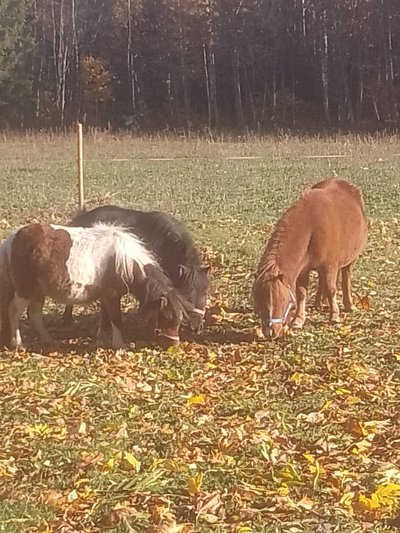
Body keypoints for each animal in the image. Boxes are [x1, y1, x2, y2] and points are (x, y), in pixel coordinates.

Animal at [0, 221, 194, 350]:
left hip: (38, 291)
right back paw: (18, 344)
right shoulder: (112, 295)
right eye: (167, 316)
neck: (123, 261)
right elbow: (116, 318)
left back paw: (48, 340)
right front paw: (120, 345)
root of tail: (12, 238)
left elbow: (105, 316)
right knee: (14, 311)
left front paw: (103, 337)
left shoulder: (106, 296)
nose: (173, 344)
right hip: (25, 290)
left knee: (34, 314)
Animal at [253, 178, 368, 336]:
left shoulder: (330, 266)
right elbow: (301, 293)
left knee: (346, 277)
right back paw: (319, 303)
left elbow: (331, 289)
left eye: (281, 299)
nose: (271, 332)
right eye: (259, 302)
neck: (312, 226)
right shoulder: (304, 269)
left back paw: (348, 305)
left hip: (349, 261)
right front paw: (298, 320)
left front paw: (334, 316)